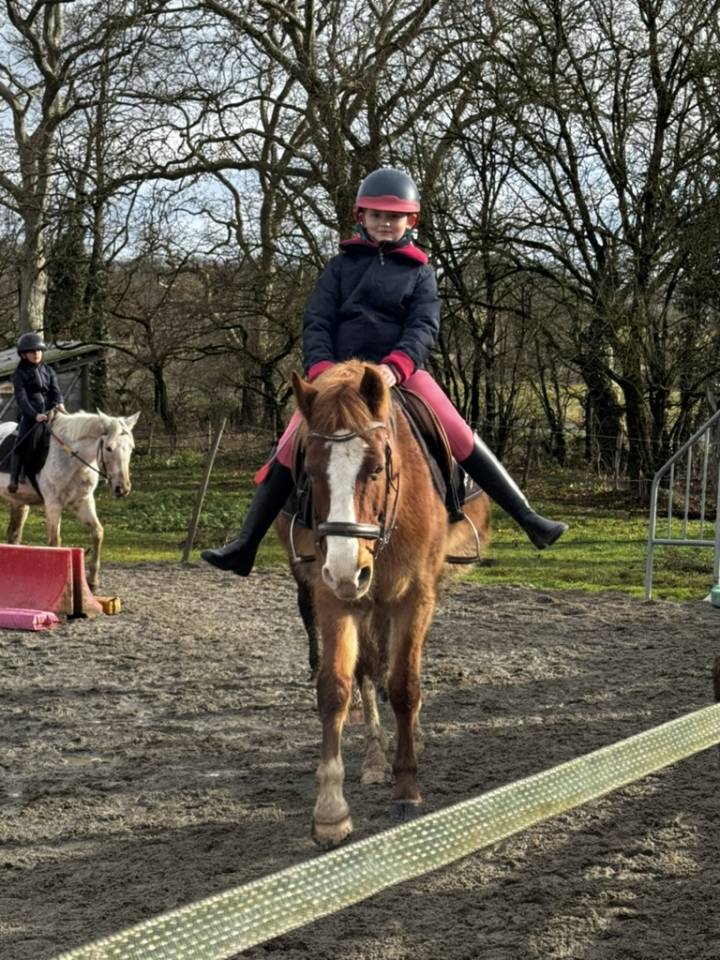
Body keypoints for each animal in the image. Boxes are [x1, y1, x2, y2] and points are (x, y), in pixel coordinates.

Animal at [0, 409, 140, 589]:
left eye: (131, 448)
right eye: (109, 448)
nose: (122, 488)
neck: (71, 457)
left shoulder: (83, 502)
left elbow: (97, 532)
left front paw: (92, 581)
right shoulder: (53, 504)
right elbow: (55, 541)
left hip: (20, 503)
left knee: (14, 535)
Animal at [279, 360, 490, 848]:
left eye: (376, 469)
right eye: (309, 471)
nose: (345, 568)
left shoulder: (414, 597)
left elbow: (405, 686)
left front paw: (408, 789)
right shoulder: (332, 598)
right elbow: (336, 688)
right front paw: (331, 811)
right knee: (368, 671)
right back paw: (375, 757)